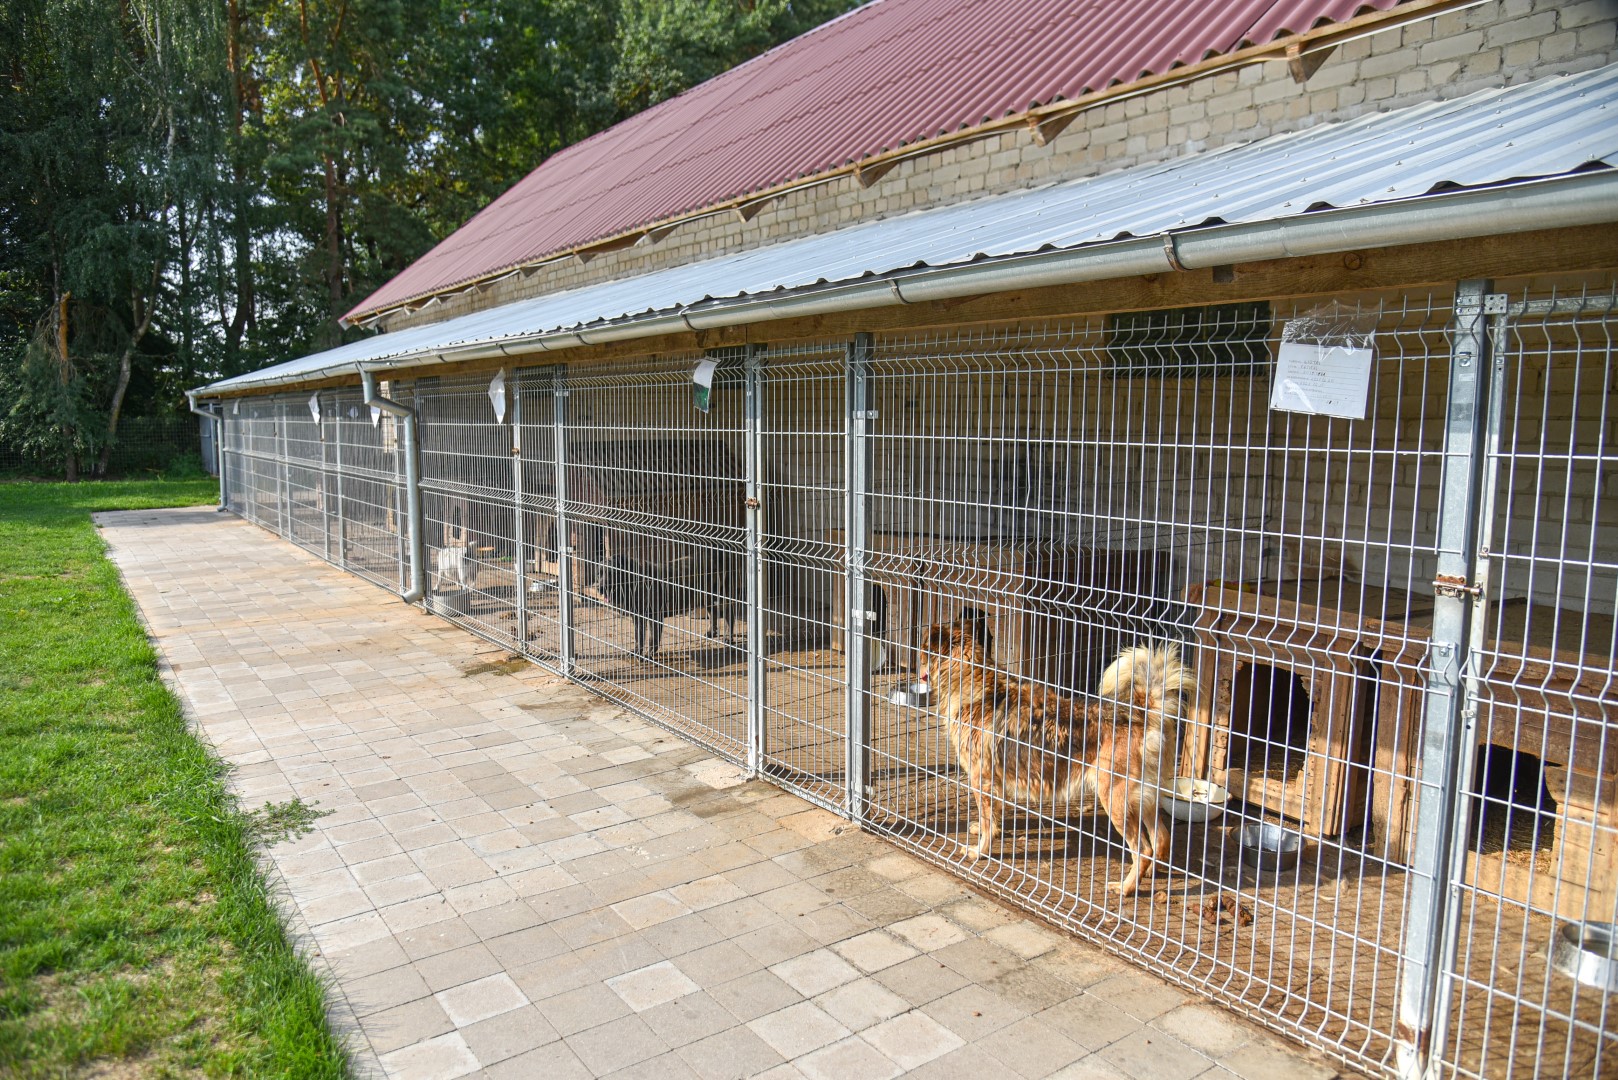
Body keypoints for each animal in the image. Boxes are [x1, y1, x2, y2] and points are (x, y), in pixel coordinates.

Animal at [925, 612, 1190, 900]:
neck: (971, 679)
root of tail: (1142, 711)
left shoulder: (980, 780)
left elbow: (987, 822)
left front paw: (979, 851)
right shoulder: (995, 781)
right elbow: (993, 817)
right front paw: (990, 832)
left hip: (1116, 799)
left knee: (1143, 849)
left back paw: (1126, 887)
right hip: (1144, 797)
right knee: (1161, 839)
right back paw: (1150, 873)